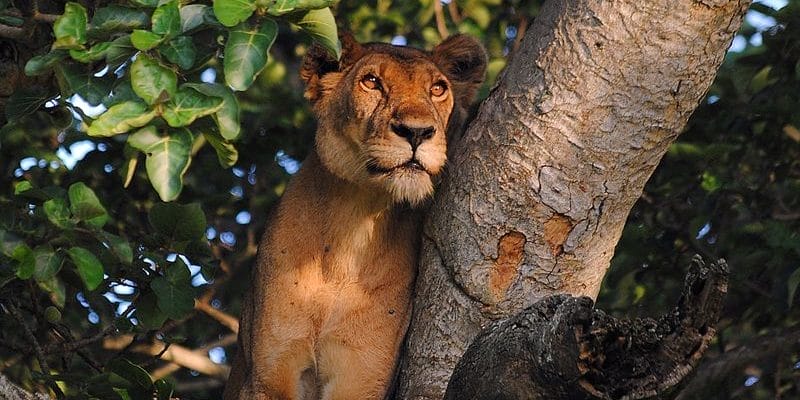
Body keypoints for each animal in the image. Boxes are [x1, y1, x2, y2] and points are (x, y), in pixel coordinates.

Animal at [223, 32, 487, 400]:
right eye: (371, 82)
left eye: (438, 88)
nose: (417, 132)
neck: (353, 222)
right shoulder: (270, 376)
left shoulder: (361, 374)